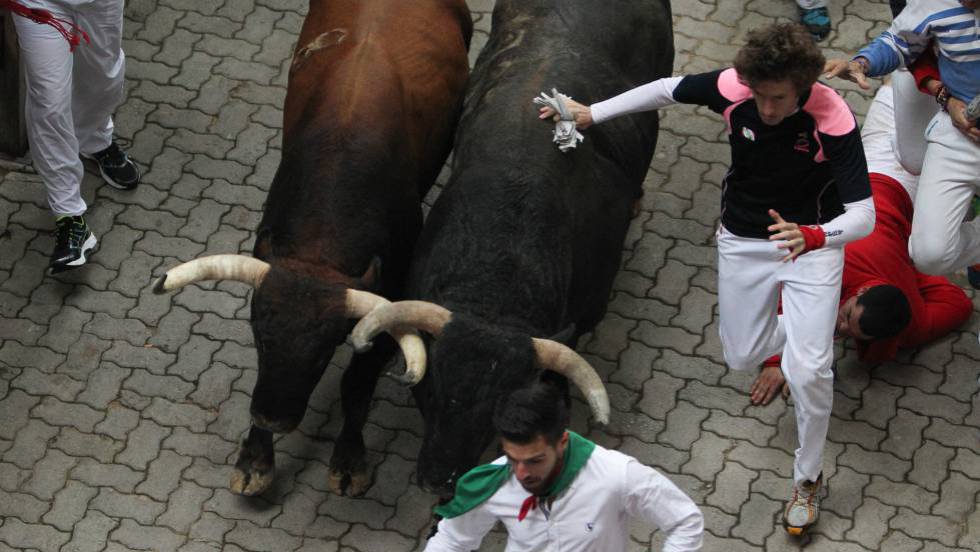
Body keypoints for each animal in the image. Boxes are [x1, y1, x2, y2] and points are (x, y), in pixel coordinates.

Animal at [151, 0, 472, 497]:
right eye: (261, 338)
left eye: (322, 352)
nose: (272, 418)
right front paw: (255, 459)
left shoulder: (391, 300)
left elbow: (355, 385)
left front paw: (349, 460)